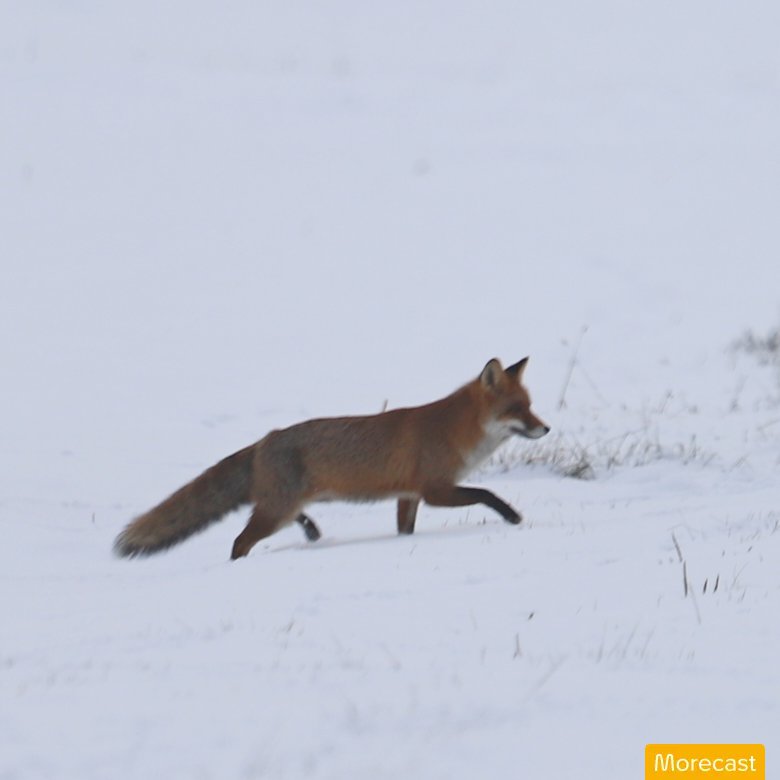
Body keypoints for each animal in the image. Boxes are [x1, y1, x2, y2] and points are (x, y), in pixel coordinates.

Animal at [114, 357, 550, 561]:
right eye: (516, 409)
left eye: (530, 406)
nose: (545, 428)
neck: (455, 430)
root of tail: (264, 440)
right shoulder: (435, 490)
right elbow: (487, 494)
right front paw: (513, 517)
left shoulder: (408, 497)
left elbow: (405, 531)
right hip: (275, 512)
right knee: (240, 541)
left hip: (282, 506)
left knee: (284, 518)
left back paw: (311, 531)